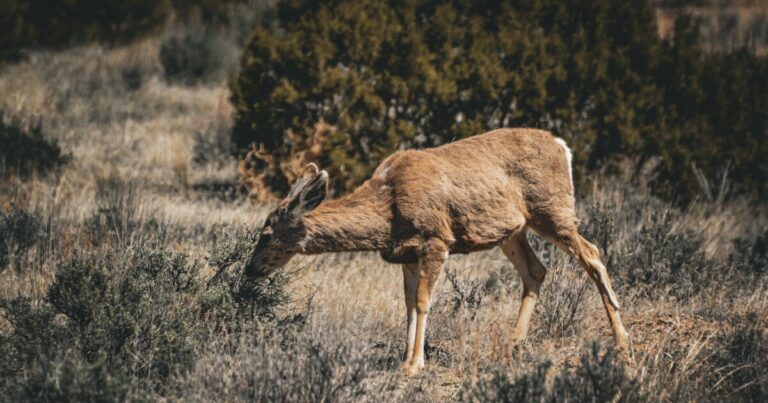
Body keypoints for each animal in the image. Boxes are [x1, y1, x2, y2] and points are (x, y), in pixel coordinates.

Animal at [242, 128, 630, 376]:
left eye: (266, 234)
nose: (250, 271)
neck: (388, 208)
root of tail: (563, 147)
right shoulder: (407, 254)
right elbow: (408, 304)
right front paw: (404, 360)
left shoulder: (436, 240)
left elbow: (424, 301)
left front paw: (416, 365)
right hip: (512, 230)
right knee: (536, 271)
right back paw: (514, 344)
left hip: (552, 209)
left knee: (592, 253)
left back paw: (622, 343)